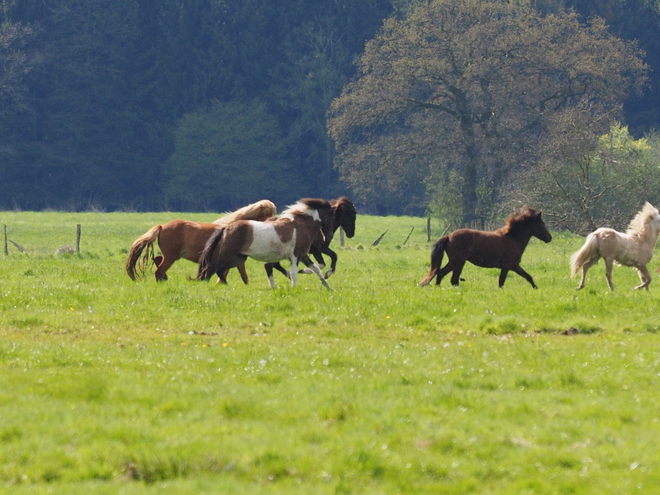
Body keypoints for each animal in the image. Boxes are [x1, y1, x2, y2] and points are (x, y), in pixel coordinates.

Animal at [124, 199, 276, 282]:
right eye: (268, 213)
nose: (274, 222)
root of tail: (162, 227)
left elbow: (241, 275)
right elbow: (235, 274)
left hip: (171, 256)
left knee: (157, 260)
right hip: (172, 257)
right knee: (159, 270)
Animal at [199, 199, 336, 290]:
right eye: (332, 216)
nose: (327, 237)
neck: (301, 225)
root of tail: (226, 228)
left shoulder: (302, 255)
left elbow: (316, 269)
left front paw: (329, 287)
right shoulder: (295, 256)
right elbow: (294, 273)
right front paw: (294, 288)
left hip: (237, 258)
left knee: (220, 270)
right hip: (227, 254)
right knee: (212, 267)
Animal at [420, 206, 556, 290]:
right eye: (542, 223)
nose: (549, 238)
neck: (513, 238)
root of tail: (448, 236)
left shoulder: (513, 266)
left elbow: (527, 277)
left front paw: (536, 288)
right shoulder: (510, 266)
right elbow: (503, 282)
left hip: (457, 262)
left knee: (445, 275)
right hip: (457, 261)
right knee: (448, 276)